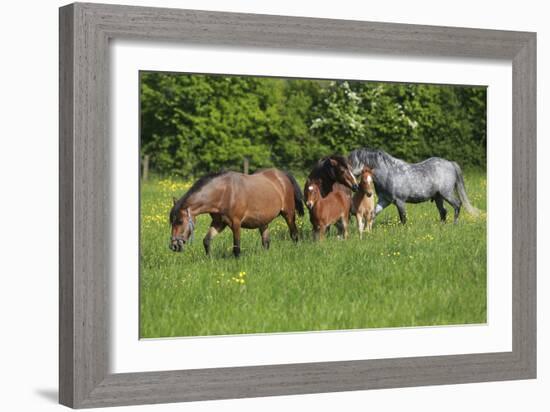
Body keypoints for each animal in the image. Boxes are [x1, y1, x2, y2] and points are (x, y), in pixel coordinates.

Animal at [169, 169, 304, 256]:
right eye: (172, 222)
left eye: (180, 221)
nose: (173, 246)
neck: (224, 193)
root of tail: (281, 175)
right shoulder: (219, 223)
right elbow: (206, 241)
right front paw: (209, 259)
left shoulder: (236, 223)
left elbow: (236, 248)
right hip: (263, 221)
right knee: (266, 242)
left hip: (289, 214)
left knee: (294, 235)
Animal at [352, 148, 480, 224]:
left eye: (352, 161)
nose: (354, 186)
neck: (389, 173)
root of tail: (450, 163)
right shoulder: (385, 200)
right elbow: (373, 213)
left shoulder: (400, 201)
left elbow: (403, 218)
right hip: (438, 197)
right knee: (443, 211)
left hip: (446, 194)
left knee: (457, 205)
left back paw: (454, 224)